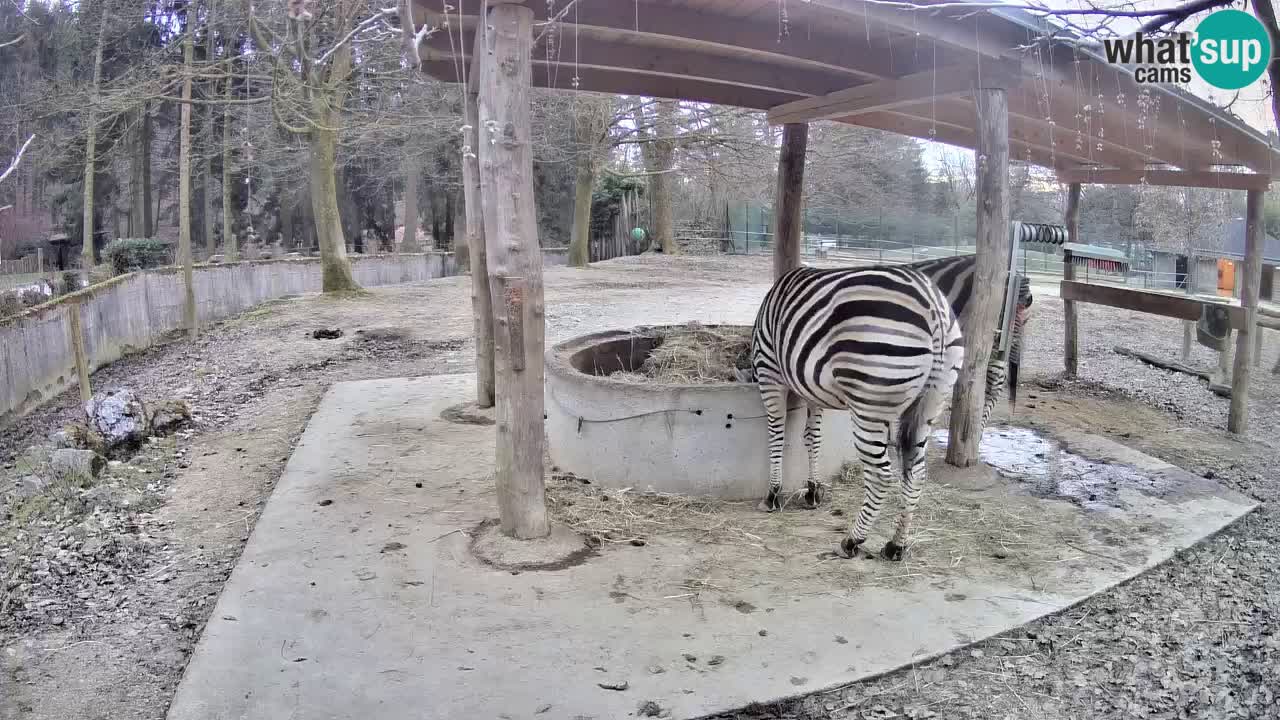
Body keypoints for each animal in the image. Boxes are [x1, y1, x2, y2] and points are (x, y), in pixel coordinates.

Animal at [742, 263, 962, 561]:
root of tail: (933, 304)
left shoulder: (769, 370)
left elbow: (776, 434)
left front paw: (772, 495)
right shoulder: (812, 389)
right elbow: (812, 438)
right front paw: (812, 491)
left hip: (869, 403)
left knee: (881, 476)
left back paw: (852, 541)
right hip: (932, 401)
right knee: (916, 472)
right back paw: (896, 545)